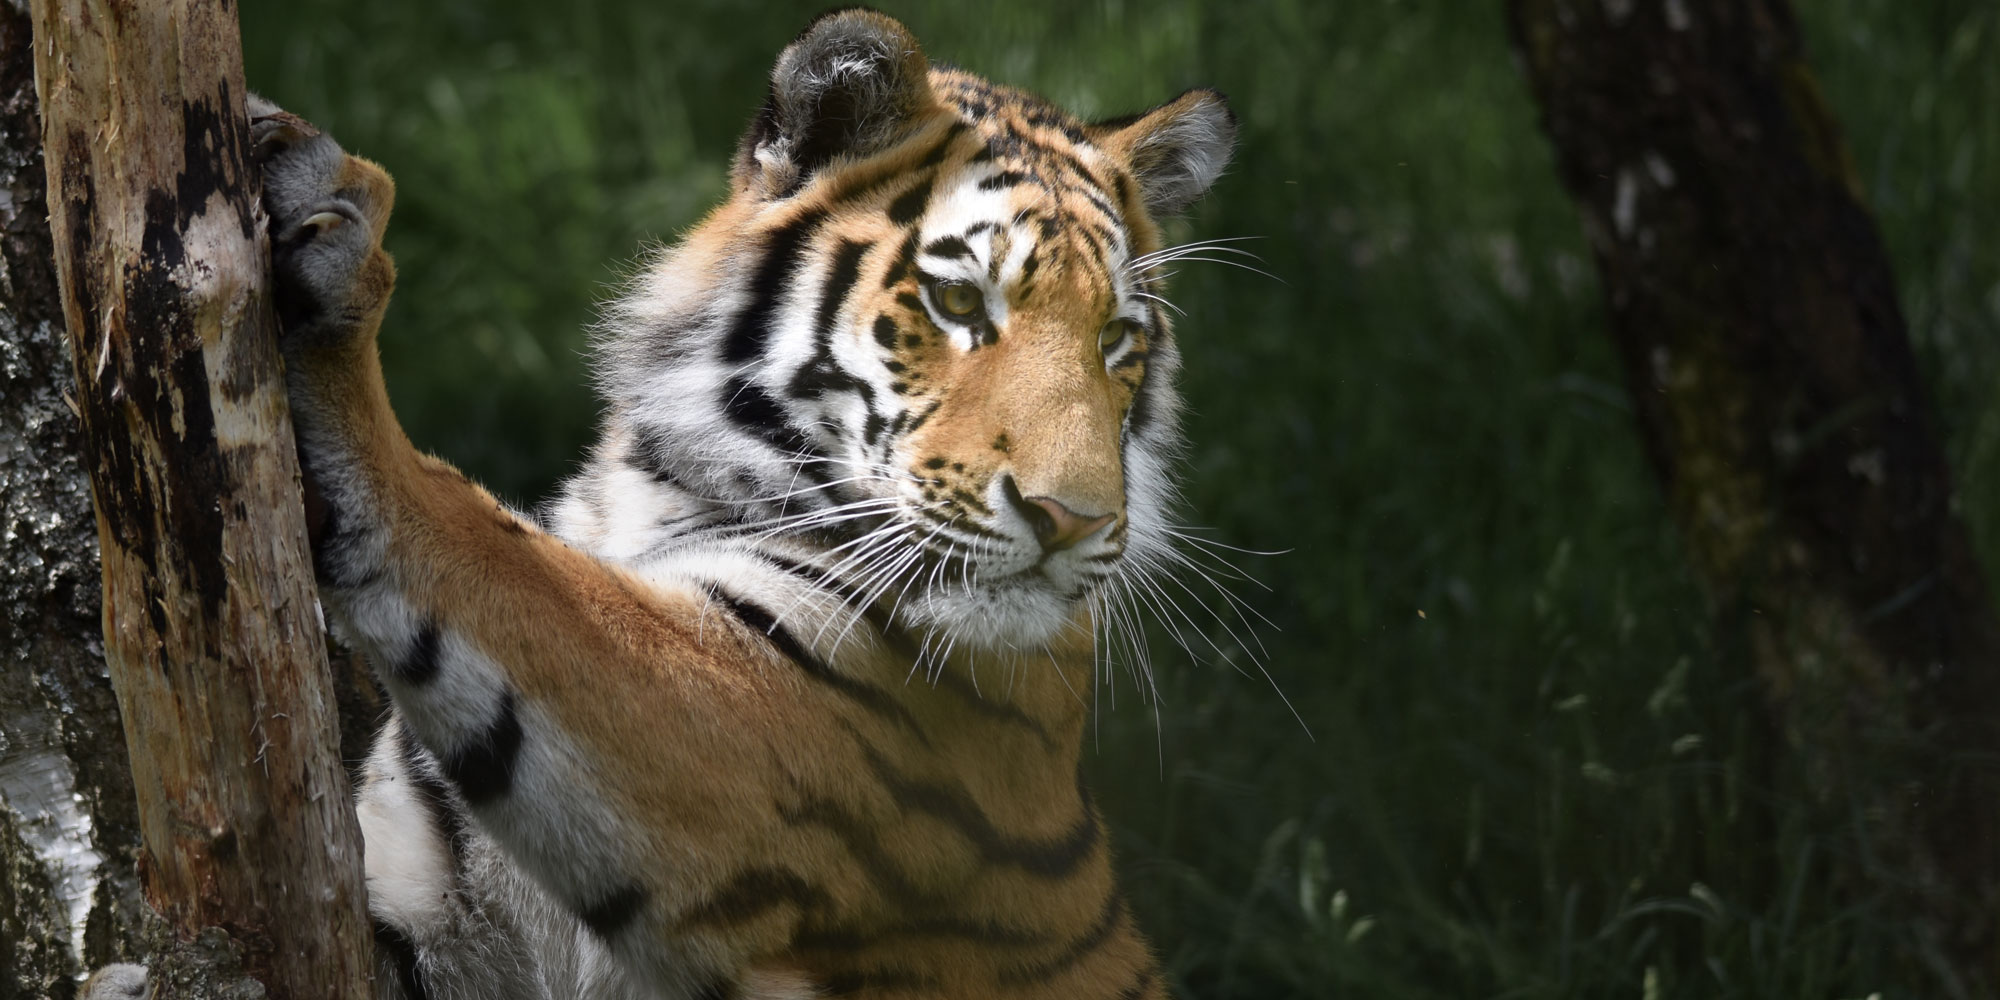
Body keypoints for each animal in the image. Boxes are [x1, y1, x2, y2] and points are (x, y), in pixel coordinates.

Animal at [84, 8, 1235, 999]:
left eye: (1116, 340)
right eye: (957, 302)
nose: (1073, 520)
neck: (656, 489)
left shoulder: (742, 727)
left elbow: (492, 553)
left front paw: (331, 257)